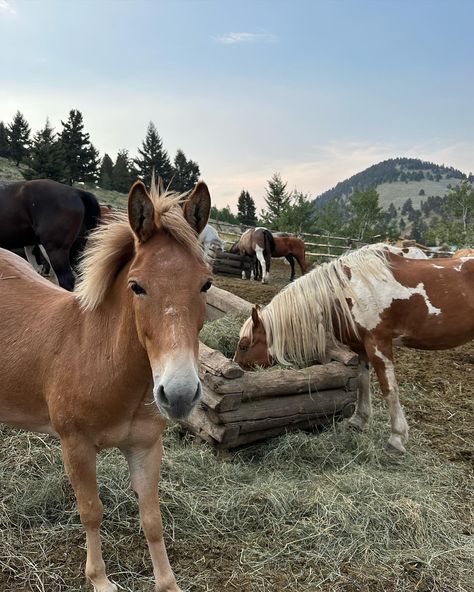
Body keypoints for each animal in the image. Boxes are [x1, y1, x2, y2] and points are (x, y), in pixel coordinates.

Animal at [0, 180, 212, 592]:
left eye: (206, 283)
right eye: (137, 286)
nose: (179, 393)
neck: (100, 359)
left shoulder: (146, 447)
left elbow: (152, 518)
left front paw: (167, 583)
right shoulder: (76, 445)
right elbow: (91, 511)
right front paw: (99, 579)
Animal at [233, 244, 474, 454]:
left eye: (244, 346)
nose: (238, 369)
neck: (351, 290)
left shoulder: (379, 344)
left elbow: (389, 389)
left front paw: (396, 438)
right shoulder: (361, 348)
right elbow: (362, 383)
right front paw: (359, 421)